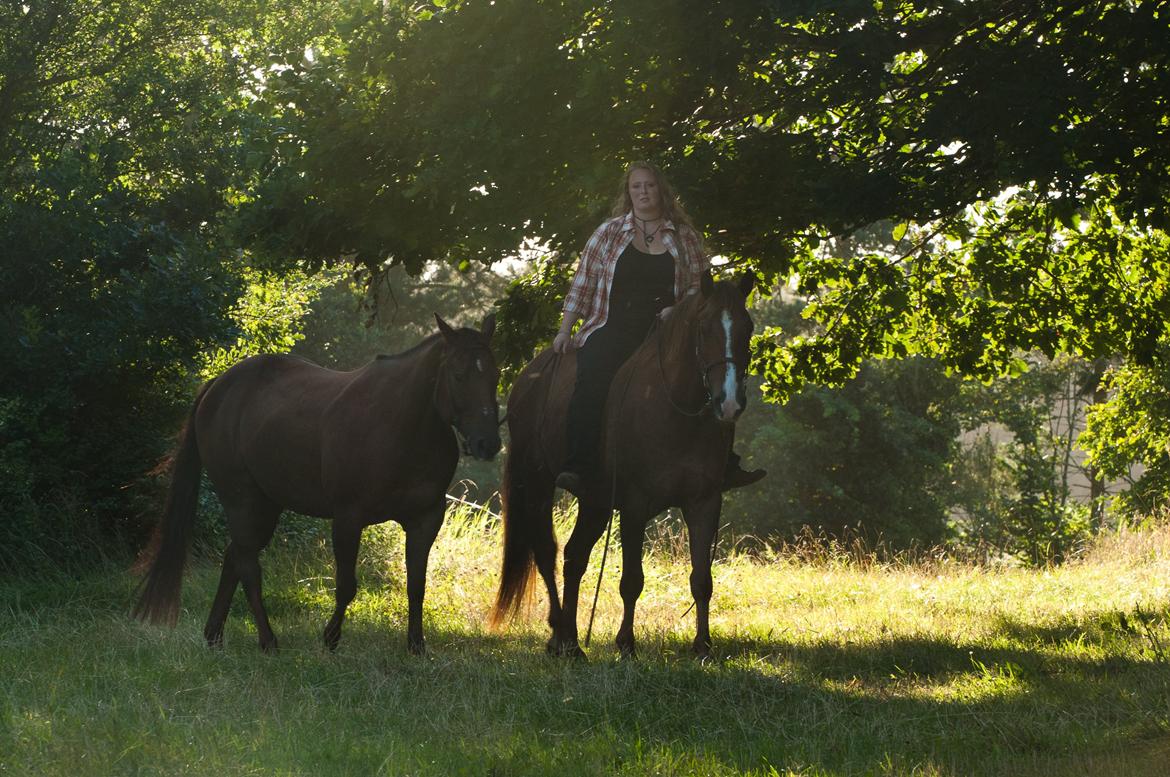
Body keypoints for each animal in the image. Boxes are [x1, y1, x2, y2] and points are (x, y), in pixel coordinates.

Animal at [134, 313, 500, 650]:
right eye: (458, 374)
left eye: (496, 374)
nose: (488, 443)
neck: (401, 427)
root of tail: (219, 386)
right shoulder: (348, 518)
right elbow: (346, 586)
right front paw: (330, 638)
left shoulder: (426, 519)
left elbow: (417, 585)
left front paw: (416, 645)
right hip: (242, 500)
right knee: (248, 566)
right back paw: (268, 641)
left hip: (266, 505)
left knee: (235, 556)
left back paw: (214, 635)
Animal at [489, 272, 753, 655]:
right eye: (704, 328)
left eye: (748, 327)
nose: (729, 402)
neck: (675, 410)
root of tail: (529, 376)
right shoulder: (635, 504)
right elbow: (632, 579)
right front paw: (626, 643)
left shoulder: (704, 501)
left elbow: (702, 579)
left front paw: (703, 645)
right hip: (537, 482)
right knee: (547, 552)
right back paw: (559, 632)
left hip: (595, 501)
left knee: (575, 557)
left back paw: (570, 640)